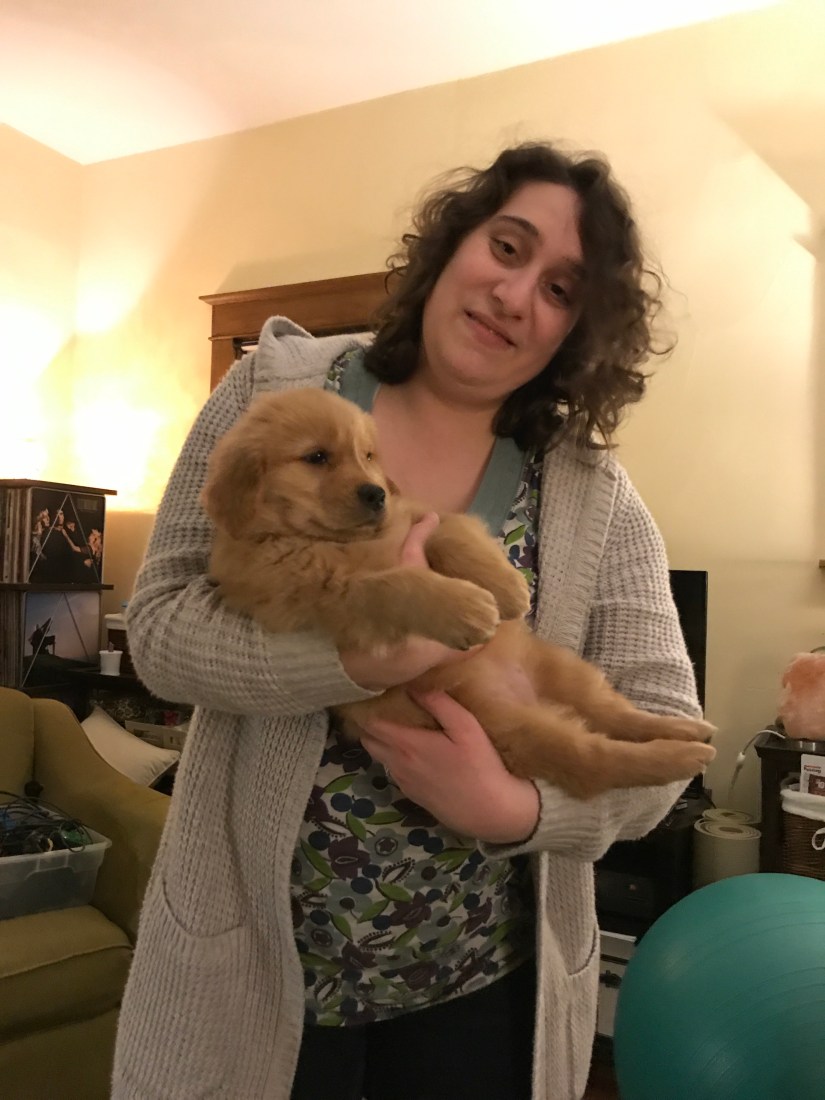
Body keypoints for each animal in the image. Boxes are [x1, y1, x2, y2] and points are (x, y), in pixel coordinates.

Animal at [202, 388, 715, 799]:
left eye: (367, 456)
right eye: (316, 458)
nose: (375, 494)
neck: (336, 541)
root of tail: (530, 697)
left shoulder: (421, 516)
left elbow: (450, 537)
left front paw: (507, 592)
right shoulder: (323, 595)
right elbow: (394, 585)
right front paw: (466, 608)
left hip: (563, 673)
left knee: (616, 715)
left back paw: (684, 729)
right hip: (512, 729)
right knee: (595, 759)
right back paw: (681, 755)